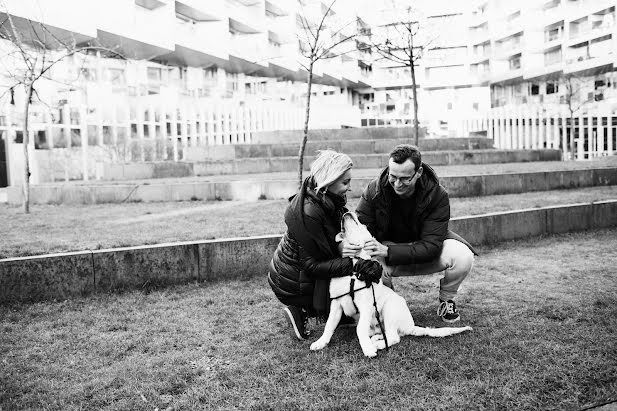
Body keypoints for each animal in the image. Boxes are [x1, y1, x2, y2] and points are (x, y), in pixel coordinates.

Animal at [308, 212, 472, 358]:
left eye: (363, 225)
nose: (347, 213)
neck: (354, 269)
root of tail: (410, 326)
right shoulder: (336, 304)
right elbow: (329, 325)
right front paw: (320, 342)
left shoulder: (366, 306)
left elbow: (360, 329)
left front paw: (367, 349)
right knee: (384, 333)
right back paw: (376, 339)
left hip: (389, 309)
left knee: (394, 337)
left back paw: (377, 344)